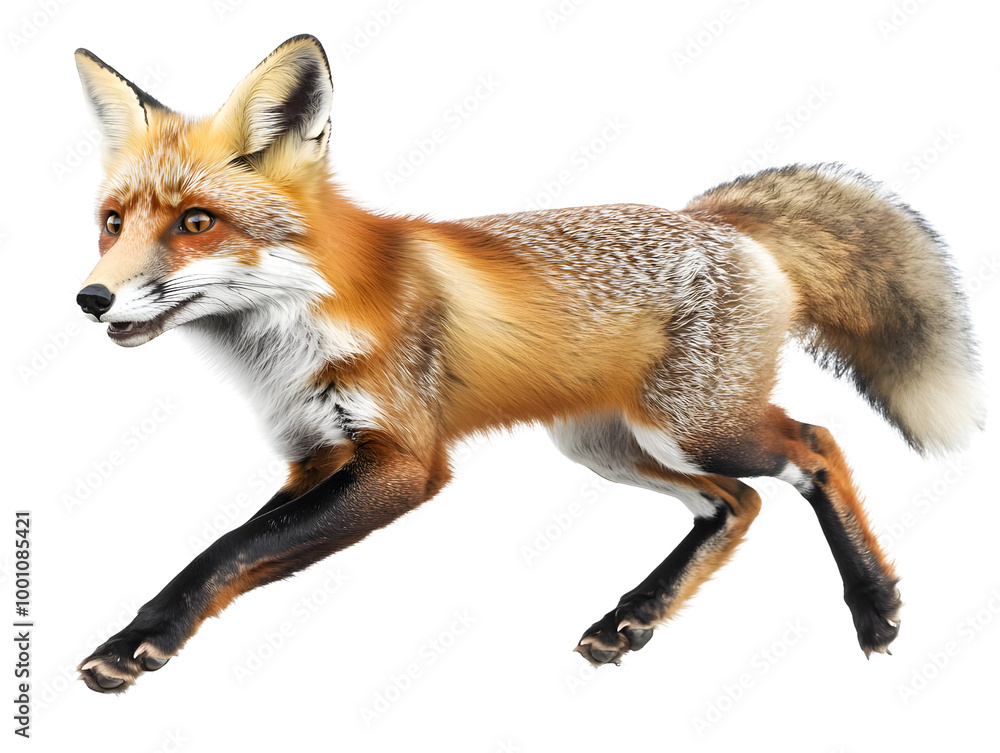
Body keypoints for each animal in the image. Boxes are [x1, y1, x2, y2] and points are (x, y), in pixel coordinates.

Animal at [73, 34, 984, 693]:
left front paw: (143, 639)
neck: (292, 332)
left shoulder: (404, 460)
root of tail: (716, 218)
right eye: (113, 223)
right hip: (608, 445)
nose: (89, 298)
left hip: (695, 427)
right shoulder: (316, 456)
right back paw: (634, 617)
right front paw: (146, 633)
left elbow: (228, 547)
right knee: (736, 503)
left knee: (815, 448)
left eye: (196, 222)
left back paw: (873, 606)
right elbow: (239, 544)